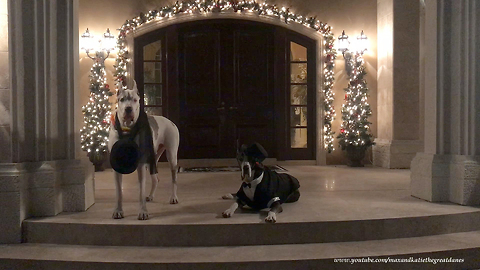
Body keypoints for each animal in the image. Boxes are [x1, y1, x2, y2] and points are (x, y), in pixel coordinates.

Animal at [108, 81, 179, 220]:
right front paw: (118, 210)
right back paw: (151, 196)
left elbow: (141, 191)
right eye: (121, 99)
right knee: (155, 179)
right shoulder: (116, 165)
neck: (127, 129)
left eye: (135, 100)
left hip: (171, 156)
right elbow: (119, 192)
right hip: (153, 157)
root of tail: (170, 121)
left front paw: (143, 212)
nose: (128, 109)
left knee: (174, 178)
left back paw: (173, 197)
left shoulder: (141, 165)